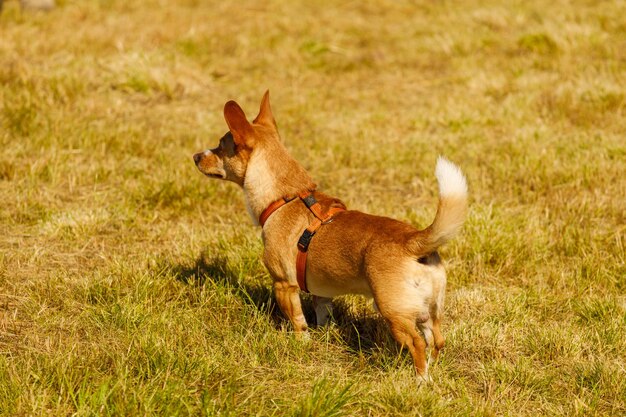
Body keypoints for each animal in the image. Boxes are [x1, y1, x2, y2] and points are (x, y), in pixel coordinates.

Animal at [193, 92, 466, 380]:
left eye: (220, 146)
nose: (195, 156)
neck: (285, 198)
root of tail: (414, 241)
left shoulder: (284, 285)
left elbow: (298, 322)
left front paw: (301, 344)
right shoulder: (321, 293)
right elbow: (322, 313)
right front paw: (323, 334)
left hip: (394, 311)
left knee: (416, 343)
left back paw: (420, 379)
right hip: (430, 310)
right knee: (436, 339)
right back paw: (433, 370)